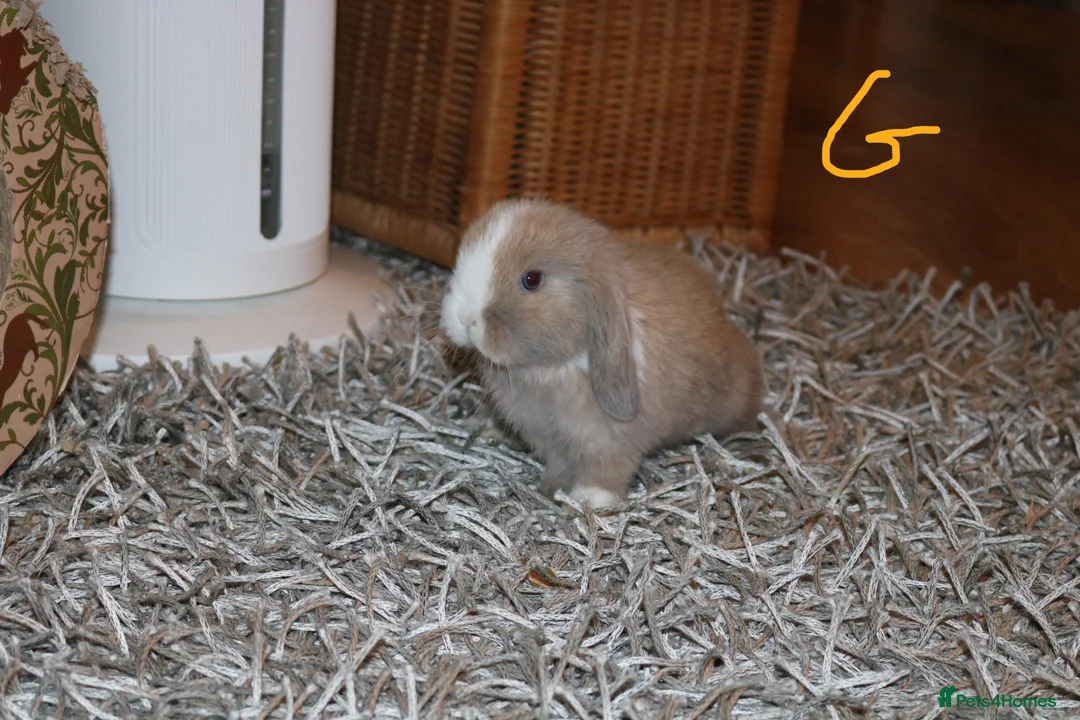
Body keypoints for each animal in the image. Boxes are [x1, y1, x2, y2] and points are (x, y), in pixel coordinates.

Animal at [439, 198, 765, 509]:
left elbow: (606, 469)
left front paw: (587, 501)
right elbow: (559, 465)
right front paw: (552, 489)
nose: (465, 318)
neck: (551, 368)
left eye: (531, 279)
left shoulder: (609, 438)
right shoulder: (549, 438)